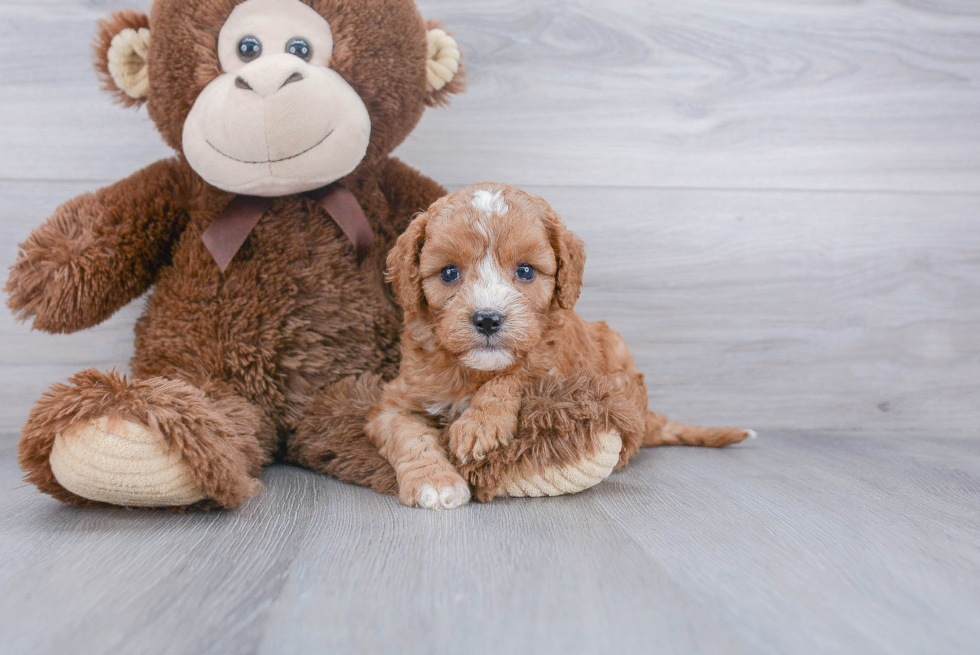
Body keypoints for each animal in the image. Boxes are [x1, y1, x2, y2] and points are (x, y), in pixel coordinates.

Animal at [368, 182, 752, 510]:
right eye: (449, 273)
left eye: (525, 271)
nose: (488, 319)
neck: (474, 371)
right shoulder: (396, 402)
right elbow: (409, 435)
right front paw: (434, 483)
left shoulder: (552, 367)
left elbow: (516, 375)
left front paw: (480, 424)